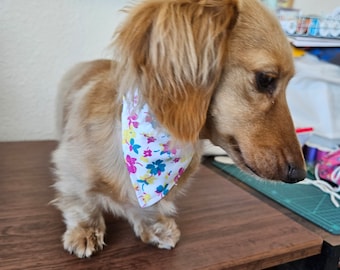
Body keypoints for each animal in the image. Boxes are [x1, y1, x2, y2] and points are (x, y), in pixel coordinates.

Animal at [51, 0, 306, 258]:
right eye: (265, 79)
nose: (299, 175)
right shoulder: (69, 169)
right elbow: (81, 202)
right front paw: (86, 231)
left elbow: (146, 208)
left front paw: (155, 227)